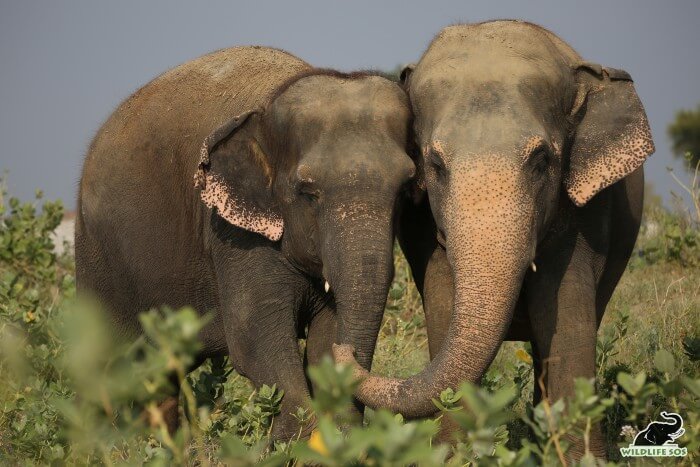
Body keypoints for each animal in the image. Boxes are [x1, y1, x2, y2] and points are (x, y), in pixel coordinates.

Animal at [76, 45, 416, 440]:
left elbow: (324, 338)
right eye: (308, 192)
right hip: (97, 259)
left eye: (405, 190)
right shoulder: (232, 236)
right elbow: (256, 341)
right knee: (108, 368)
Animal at [334, 19, 656, 458]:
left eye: (541, 161)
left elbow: (568, 315)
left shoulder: (588, 214)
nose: (343, 351)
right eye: (435, 165)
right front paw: (454, 456)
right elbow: (442, 303)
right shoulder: (423, 227)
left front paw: (580, 460)